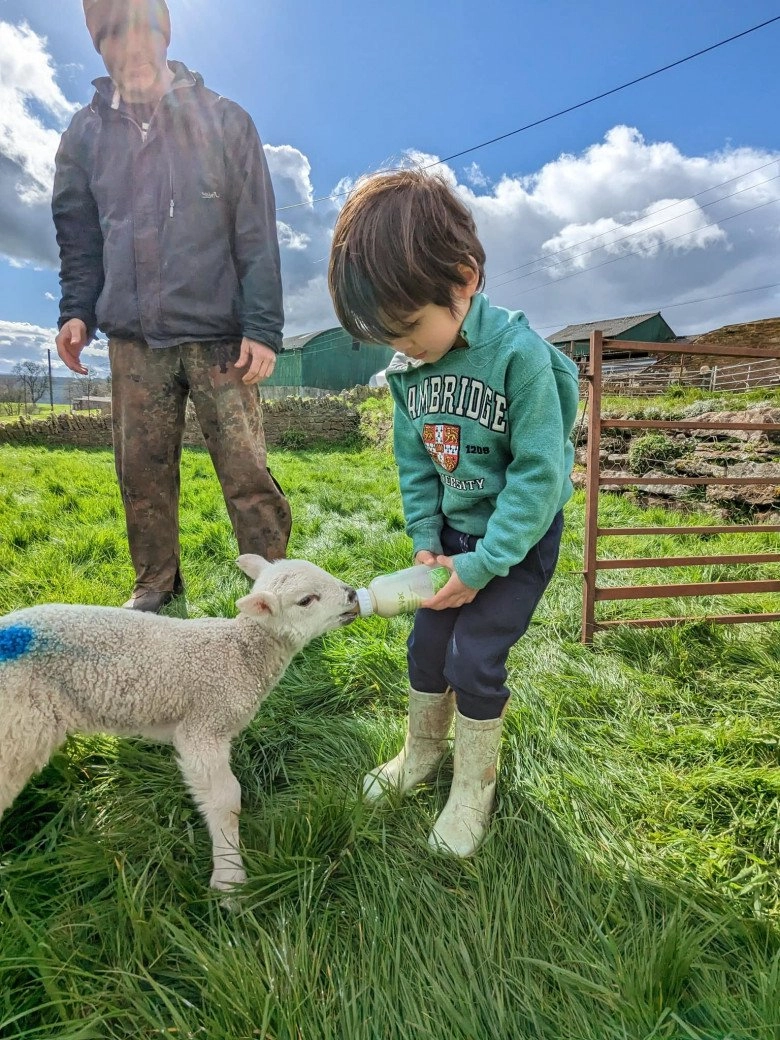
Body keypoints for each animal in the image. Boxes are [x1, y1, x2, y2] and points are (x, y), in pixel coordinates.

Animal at [0, 557, 359, 890]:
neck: (240, 655)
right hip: (15, 731)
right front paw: (230, 878)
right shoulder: (203, 725)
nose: (353, 594)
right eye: (306, 600)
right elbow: (227, 798)